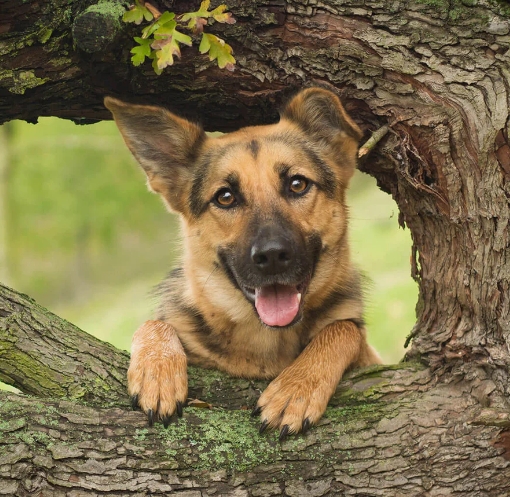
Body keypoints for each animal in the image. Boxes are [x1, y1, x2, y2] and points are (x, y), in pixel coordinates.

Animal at [103, 87, 380, 436]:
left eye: (298, 184)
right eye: (225, 197)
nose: (272, 256)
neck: (265, 339)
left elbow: (344, 329)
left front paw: (297, 388)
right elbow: (155, 322)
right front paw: (158, 373)